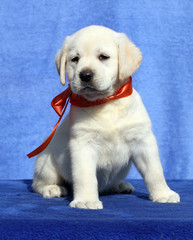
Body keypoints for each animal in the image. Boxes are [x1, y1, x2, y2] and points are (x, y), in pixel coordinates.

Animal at [32, 25, 179, 208]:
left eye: (103, 57)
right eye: (75, 59)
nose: (85, 75)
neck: (106, 102)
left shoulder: (142, 140)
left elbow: (155, 172)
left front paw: (163, 194)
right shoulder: (83, 144)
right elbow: (85, 176)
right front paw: (86, 200)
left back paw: (120, 185)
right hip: (45, 162)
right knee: (38, 184)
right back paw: (53, 188)